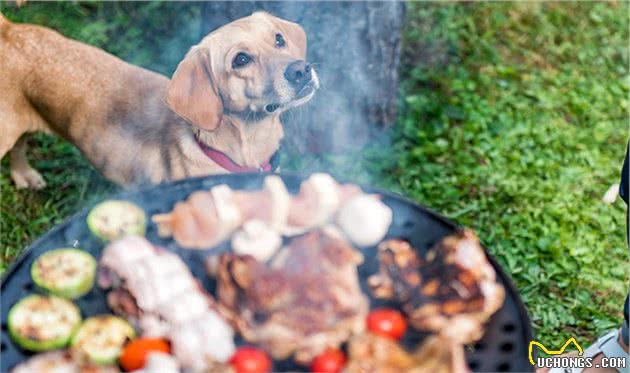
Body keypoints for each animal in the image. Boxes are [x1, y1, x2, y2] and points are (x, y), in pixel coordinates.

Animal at [0, 11, 316, 187]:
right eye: (240, 59)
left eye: (279, 39)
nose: (301, 70)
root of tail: (9, 30)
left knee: (20, 148)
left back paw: (24, 175)